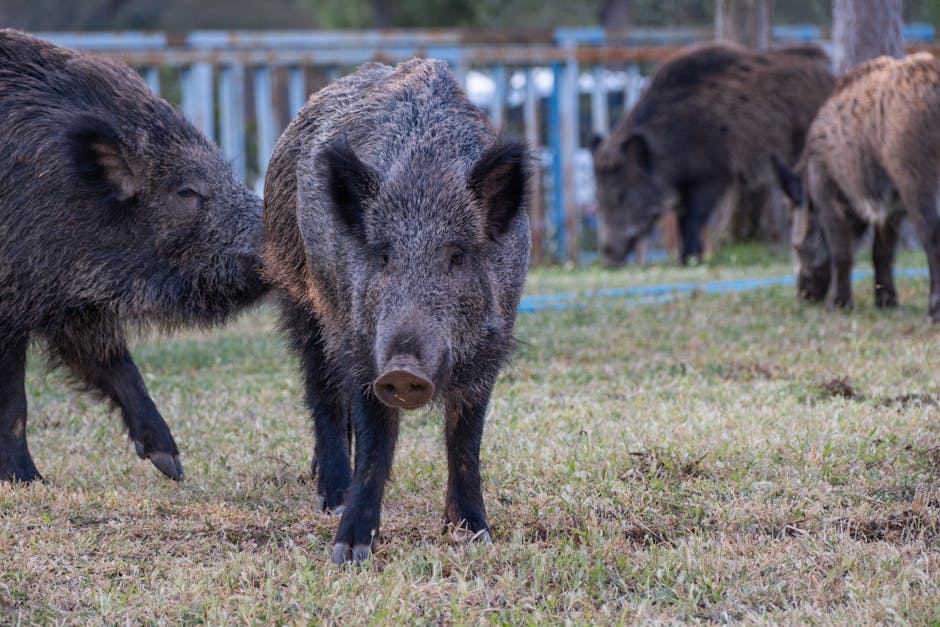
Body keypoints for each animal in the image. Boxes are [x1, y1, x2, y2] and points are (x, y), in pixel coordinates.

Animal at [0, 29, 267, 483]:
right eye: (187, 191)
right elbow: (15, 400)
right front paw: (28, 480)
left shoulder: (70, 301)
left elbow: (117, 365)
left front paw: (172, 465)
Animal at [263, 58, 531, 564]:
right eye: (384, 255)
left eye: (457, 256)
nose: (404, 369)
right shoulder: (364, 345)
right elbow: (376, 441)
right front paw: (349, 550)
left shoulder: (493, 342)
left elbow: (465, 440)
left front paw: (475, 535)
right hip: (299, 292)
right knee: (321, 391)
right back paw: (331, 495)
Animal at [591, 42, 834, 266]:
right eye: (598, 197)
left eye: (622, 195)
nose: (608, 260)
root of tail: (832, 80)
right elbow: (681, 219)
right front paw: (685, 260)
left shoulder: (712, 175)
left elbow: (692, 219)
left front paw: (690, 260)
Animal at [775, 53, 940, 319]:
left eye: (794, 221)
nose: (804, 297)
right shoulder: (890, 206)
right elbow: (882, 252)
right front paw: (887, 303)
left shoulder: (827, 192)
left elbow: (841, 252)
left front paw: (838, 305)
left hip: (917, 178)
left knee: (932, 237)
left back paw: (933, 314)